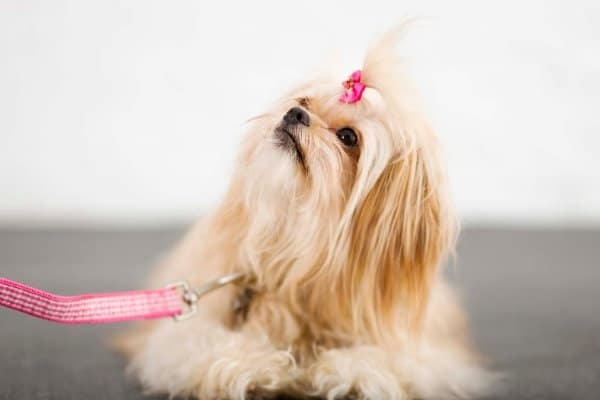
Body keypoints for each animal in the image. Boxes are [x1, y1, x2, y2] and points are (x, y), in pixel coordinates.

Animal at [119, 26, 494, 398]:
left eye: (348, 137)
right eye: (302, 104)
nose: (295, 115)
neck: (294, 247)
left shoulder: (423, 352)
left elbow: (386, 361)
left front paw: (349, 369)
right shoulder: (185, 333)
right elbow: (204, 345)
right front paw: (252, 363)